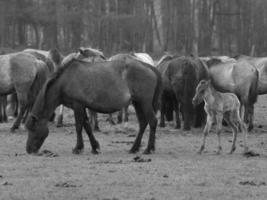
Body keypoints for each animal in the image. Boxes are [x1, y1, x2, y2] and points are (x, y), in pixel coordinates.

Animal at [26, 56, 162, 155]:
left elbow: (79, 126)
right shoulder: (82, 107)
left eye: (33, 128)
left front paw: (78, 148)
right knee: (143, 123)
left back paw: (148, 149)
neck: (65, 81)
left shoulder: (77, 106)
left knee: (152, 121)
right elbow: (87, 126)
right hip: (137, 103)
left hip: (144, 103)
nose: (29, 150)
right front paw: (94, 147)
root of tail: (149, 66)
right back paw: (134, 148)